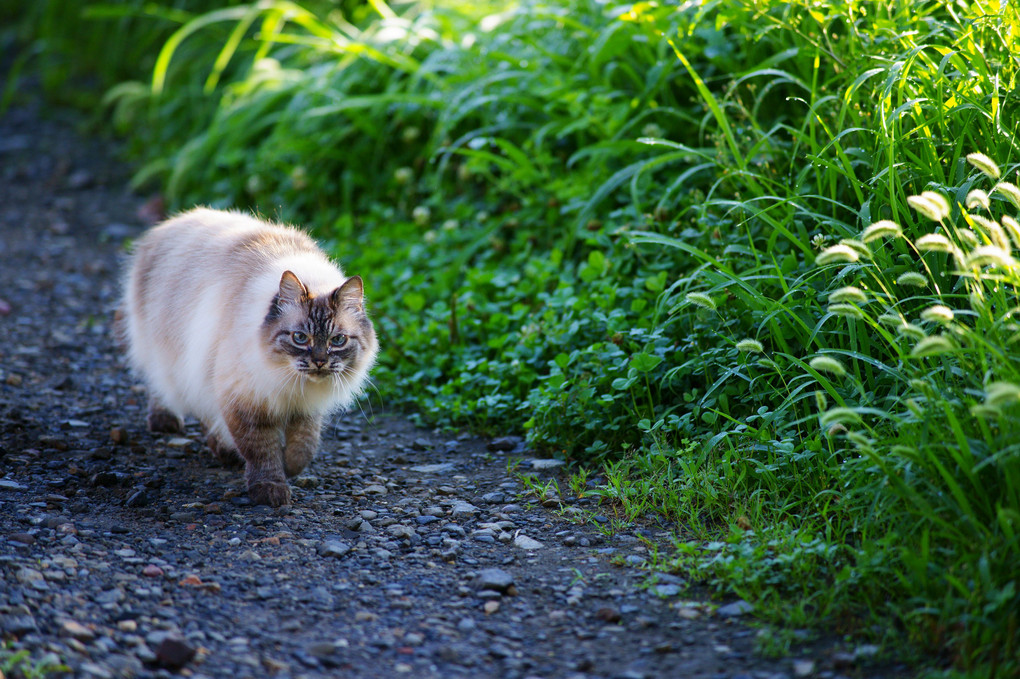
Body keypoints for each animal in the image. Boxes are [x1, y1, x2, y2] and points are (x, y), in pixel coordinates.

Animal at [122, 209, 379, 505]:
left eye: (337, 340)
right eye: (300, 338)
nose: (319, 361)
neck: (291, 380)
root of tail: (174, 221)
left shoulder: (304, 406)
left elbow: (304, 447)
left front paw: (289, 467)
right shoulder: (246, 400)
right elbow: (262, 451)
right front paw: (271, 489)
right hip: (174, 356)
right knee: (163, 385)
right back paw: (170, 423)